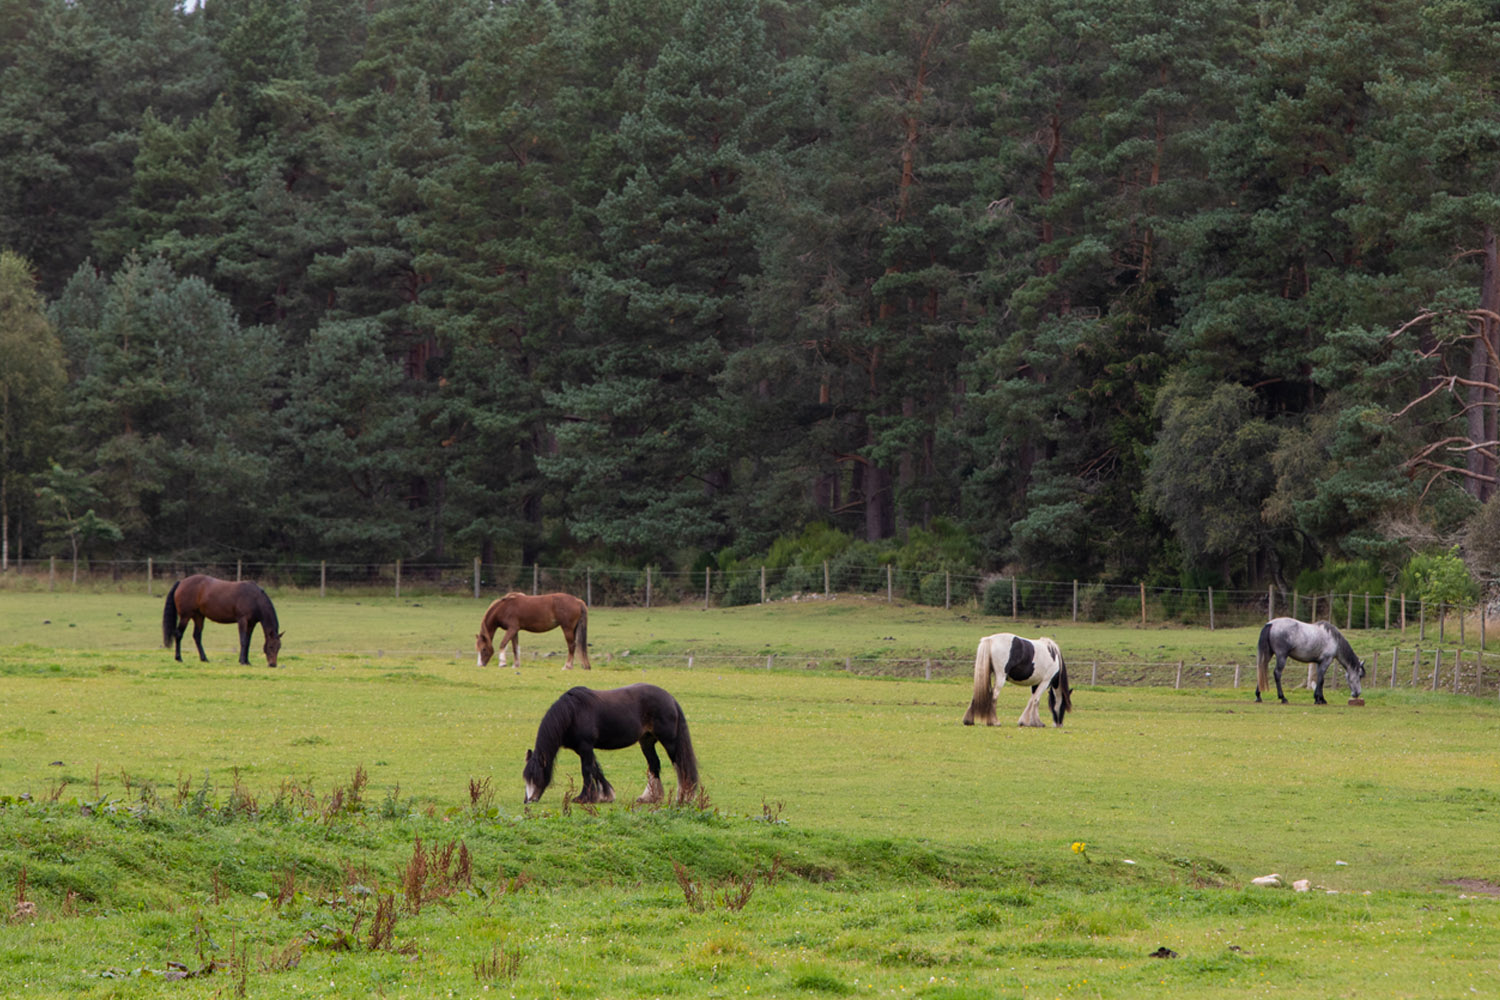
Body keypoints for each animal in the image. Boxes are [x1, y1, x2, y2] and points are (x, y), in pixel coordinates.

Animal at [522, 683, 696, 809]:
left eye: (537, 777)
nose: (529, 800)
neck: (572, 713)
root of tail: (670, 698)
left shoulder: (585, 747)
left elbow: (586, 770)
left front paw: (583, 798)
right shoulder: (583, 749)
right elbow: (595, 769)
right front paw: (606, 795)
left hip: (670, 742)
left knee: (680, 767)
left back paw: (683, 797)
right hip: (646, 742)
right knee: (654, 764)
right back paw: (649, 797)